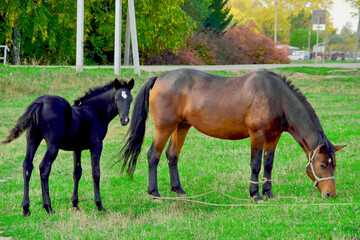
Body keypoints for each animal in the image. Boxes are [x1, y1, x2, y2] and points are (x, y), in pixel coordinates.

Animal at [117, 69, 344, 201]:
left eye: (334, 165)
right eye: (321, 165)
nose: (331, 194)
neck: (276, 97)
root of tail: (159, 78)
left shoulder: (273, 137)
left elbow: (268, 165)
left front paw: (268, 193)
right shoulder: (257, 135)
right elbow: (256, 164)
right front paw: (255, 195)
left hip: (182, 126)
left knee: (172, 155)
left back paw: (178, 190)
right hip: (164, 127)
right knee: (153, 155)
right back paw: (154, 192)